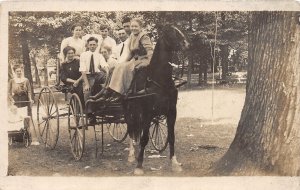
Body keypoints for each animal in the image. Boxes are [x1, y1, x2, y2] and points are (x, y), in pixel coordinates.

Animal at [124, 24, 190, 174]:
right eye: (171, 33)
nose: (186, 44)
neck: (160, 80)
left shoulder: (171, 112)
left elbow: (171, 137)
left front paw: (174, 163)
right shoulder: (147, 113)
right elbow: (144, 138)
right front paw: (139, 166)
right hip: (132, 111)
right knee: (131, 129)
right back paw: (131, 155)